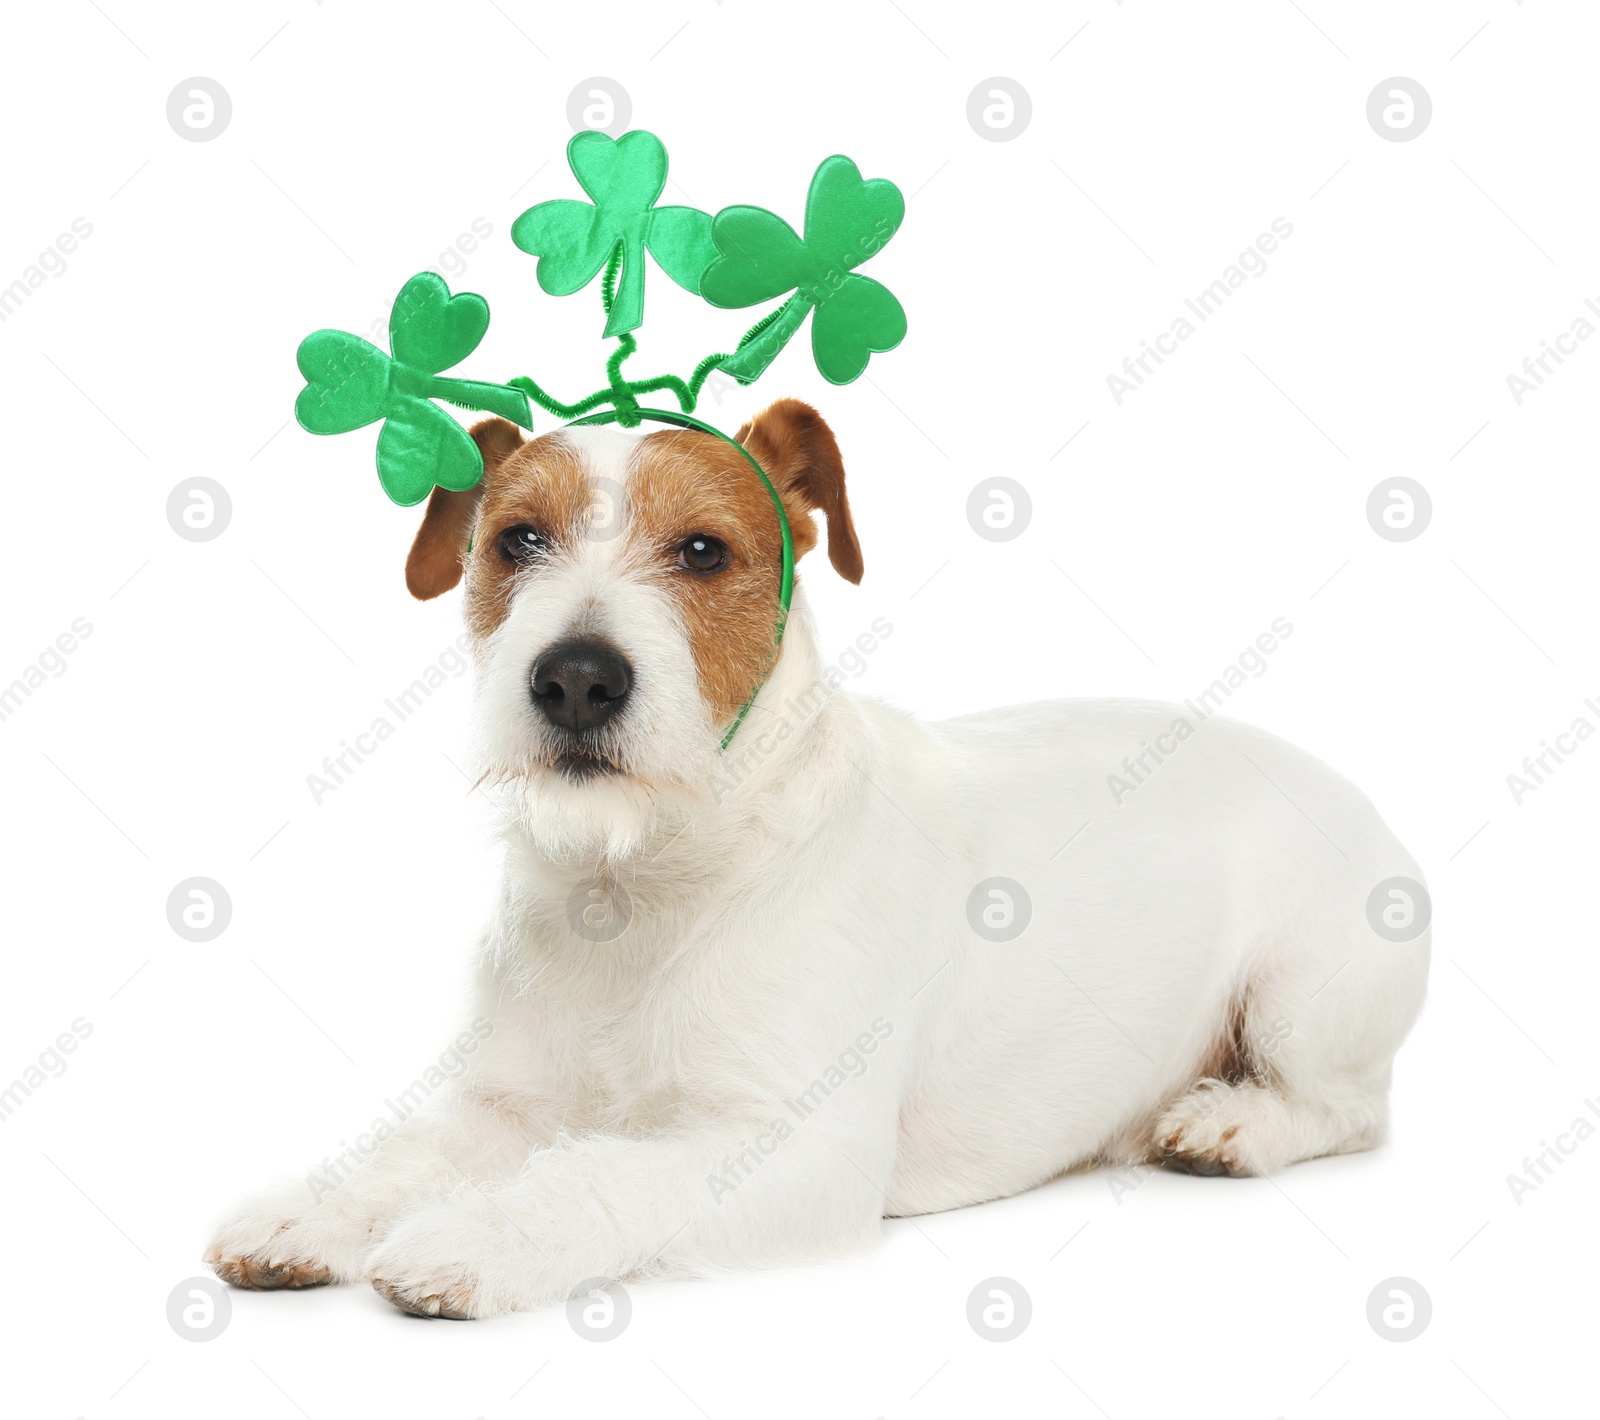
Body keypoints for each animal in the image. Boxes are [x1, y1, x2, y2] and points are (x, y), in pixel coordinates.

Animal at [206, 399, 1433, 1317]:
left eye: (703, 550)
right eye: (518, 542)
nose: (575, 678)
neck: (643, 882)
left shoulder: (788, 1151)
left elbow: (595, 1177)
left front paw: (467, 1235)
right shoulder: (504, 1102)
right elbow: (405, 1151)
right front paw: (313, 1207)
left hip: (1305, 996)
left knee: (1352, 1108)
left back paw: (1232, 1124)